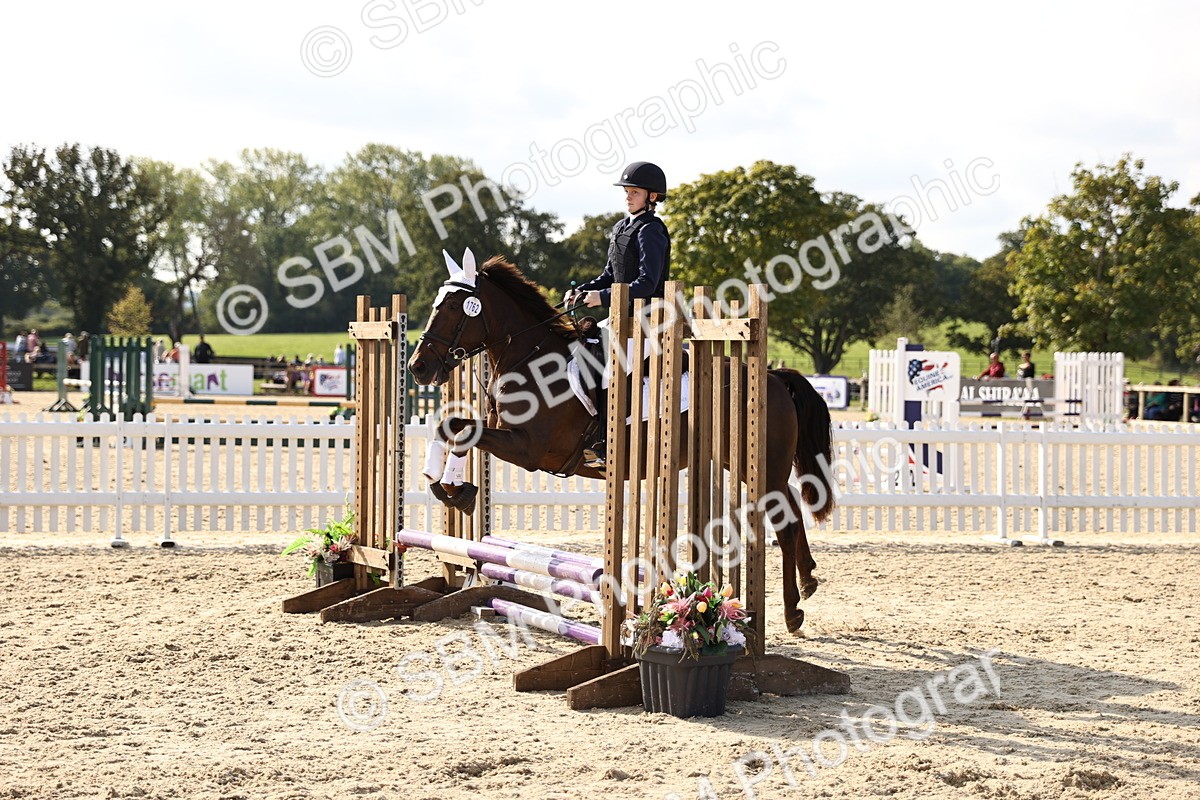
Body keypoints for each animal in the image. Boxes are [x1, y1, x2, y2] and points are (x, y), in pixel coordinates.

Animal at [407, 249, 836, 632]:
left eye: (452, 308)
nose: (417, 367)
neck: (531, 359)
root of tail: (773, 377)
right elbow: (450, 426)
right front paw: (446, 486)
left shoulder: (529, 449)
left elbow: (462, 432)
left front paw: (457, 490)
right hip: (744, 463)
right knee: (792, 510)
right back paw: (809, 580)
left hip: (760, 465)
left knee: (785, 522)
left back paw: (793, 611)